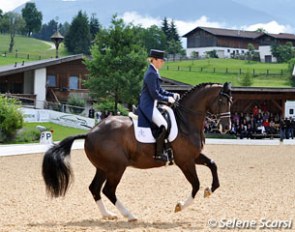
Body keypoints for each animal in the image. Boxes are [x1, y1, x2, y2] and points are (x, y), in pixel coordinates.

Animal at [42, 81, 234, 221]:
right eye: (222, 101)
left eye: (231, 102)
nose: (226, 128)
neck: (185, 121)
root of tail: (90, 133)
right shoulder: (185, 161)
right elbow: (195, 184)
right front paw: (180, 206)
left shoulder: (193, 156)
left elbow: (213, 164)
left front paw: (211, 189)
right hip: (117, 167)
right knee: (108, 190)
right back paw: (130, 215)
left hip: (104, 168)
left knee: (95, 188)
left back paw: (108, 215)